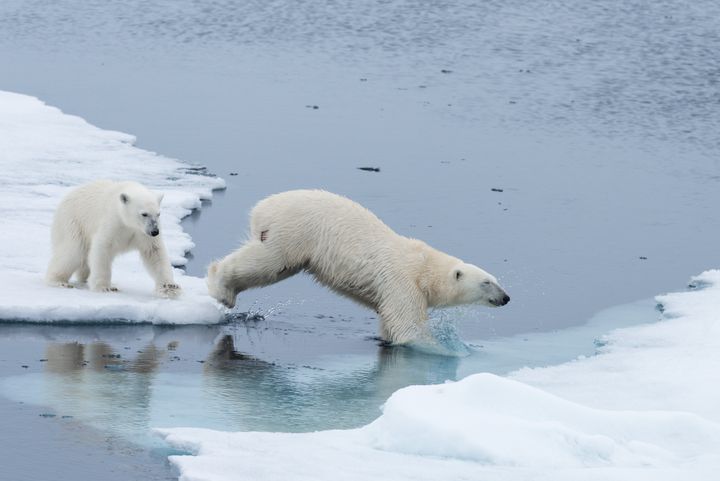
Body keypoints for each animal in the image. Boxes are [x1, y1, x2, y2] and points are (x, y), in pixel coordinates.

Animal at [45, 179, 181, 296]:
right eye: (144, 214)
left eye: (158, 214)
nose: (154, 231)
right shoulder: (113, 221)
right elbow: (102, 247)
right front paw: (104, 287)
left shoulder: (142, 232)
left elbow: (154, 252)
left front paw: (170, 287)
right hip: (73, 222)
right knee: (73, 251)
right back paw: (59, 281)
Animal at [207, 189, 512, 344]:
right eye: (486, 282)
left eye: (497, 279)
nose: (506, 298)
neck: (424, 267)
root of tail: (262, 208)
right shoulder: (402, 283)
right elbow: (407, 326)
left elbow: (390, 323)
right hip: (294, 232)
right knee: (268, 264)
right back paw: (221, 288)